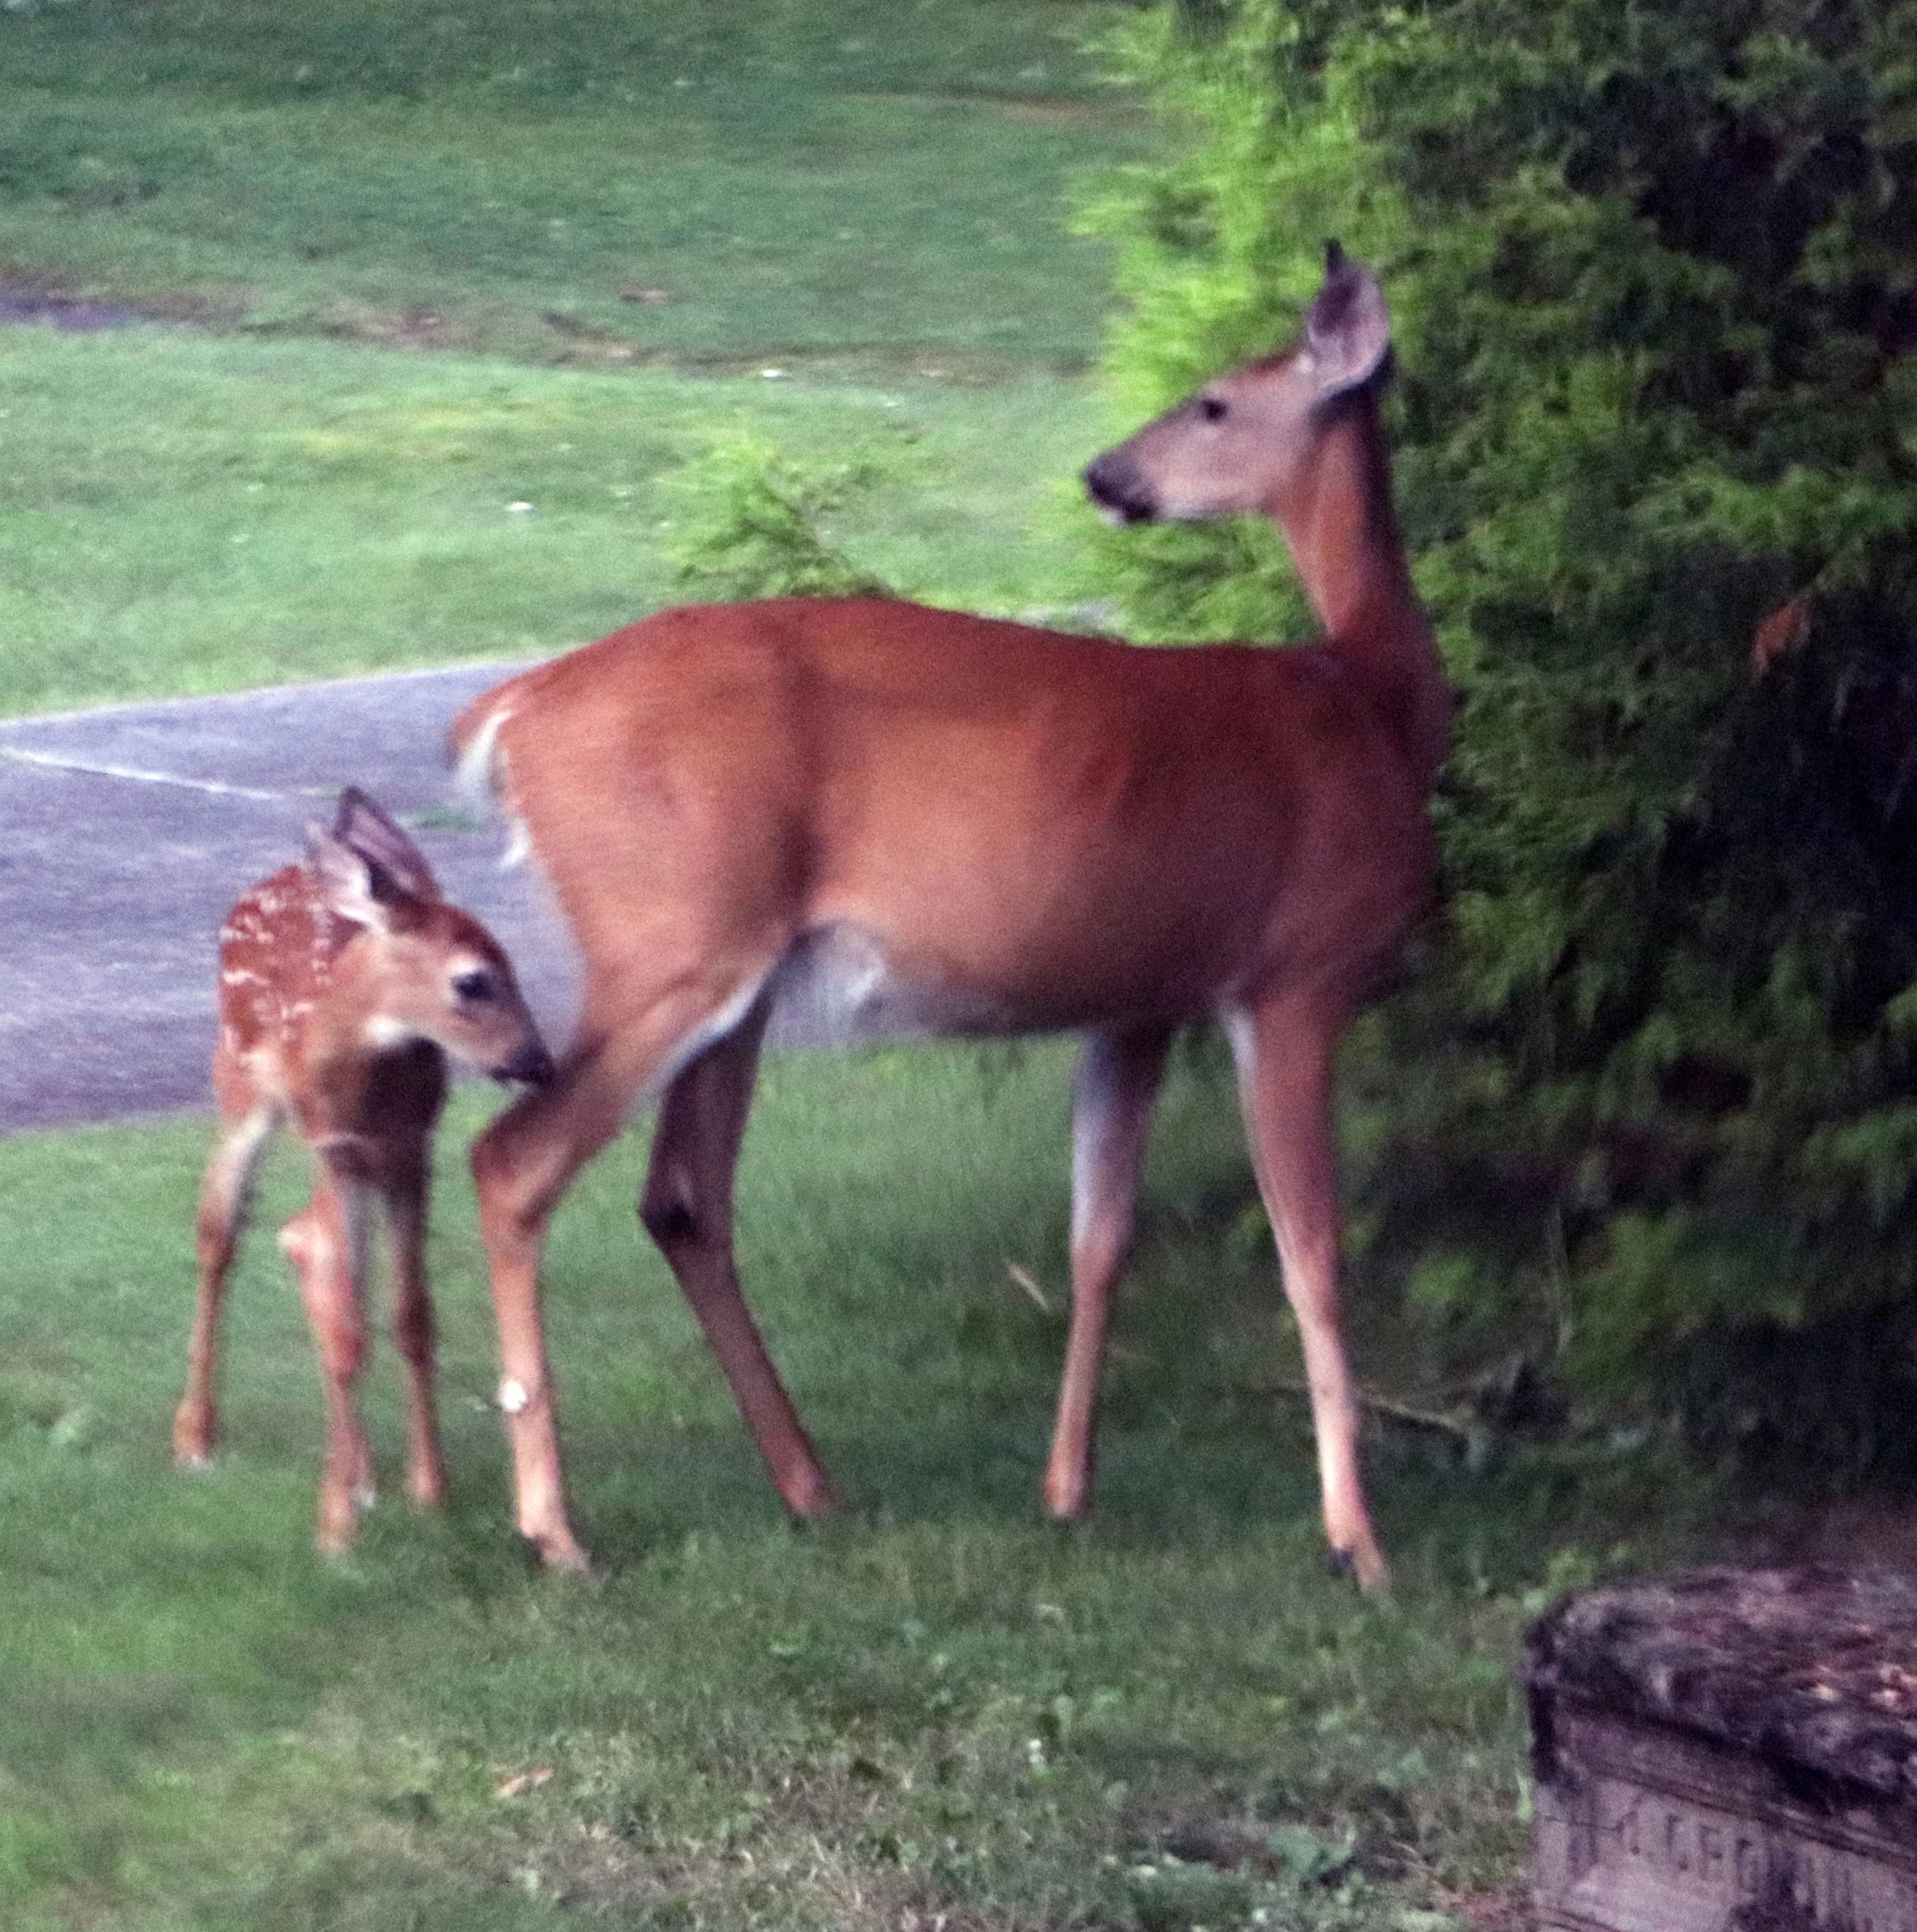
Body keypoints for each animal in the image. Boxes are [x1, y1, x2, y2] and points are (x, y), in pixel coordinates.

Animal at [174, 786, 555, 1553]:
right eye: (473, 980)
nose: (537, 1063)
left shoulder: (412, 1149)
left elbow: (409, 1315)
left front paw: (427, 1490)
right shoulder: (338, 1148)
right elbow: (348, 1324)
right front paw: (336, 1528)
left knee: (308, 1244)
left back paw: (363, 1471)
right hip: (239, 1083)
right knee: (221, 1228)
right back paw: (195, 1438)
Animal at [451, 245, 1447, 1593]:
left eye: (1212, 403)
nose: (1106, 476)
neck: (1373, 701)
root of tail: (514, 712)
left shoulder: (1142, 998)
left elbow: (1101, 1237)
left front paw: (1067, 1491)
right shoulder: (1293, 972)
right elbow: (1315, 1259)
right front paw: (1360, 1544)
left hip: (737, 978)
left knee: (682, 1197)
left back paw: (812, 1487)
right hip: (671, 942)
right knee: (515, 1163)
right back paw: (556, 1530)